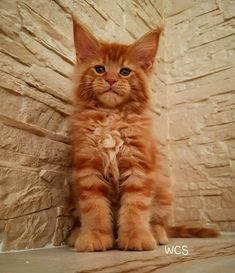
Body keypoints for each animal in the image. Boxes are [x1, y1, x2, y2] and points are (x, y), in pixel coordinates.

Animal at [68, 17, 218, 251]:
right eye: (100, 69)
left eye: (125, 72)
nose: (111, 80)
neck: (112, 116)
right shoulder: (87, 167)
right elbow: (94, 208)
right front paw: (94, 236)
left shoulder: (140, 165)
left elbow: (135, 207)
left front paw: (136, 236)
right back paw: (77, 234)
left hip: (163, 191)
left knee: (159, 222)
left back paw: (157, 233)